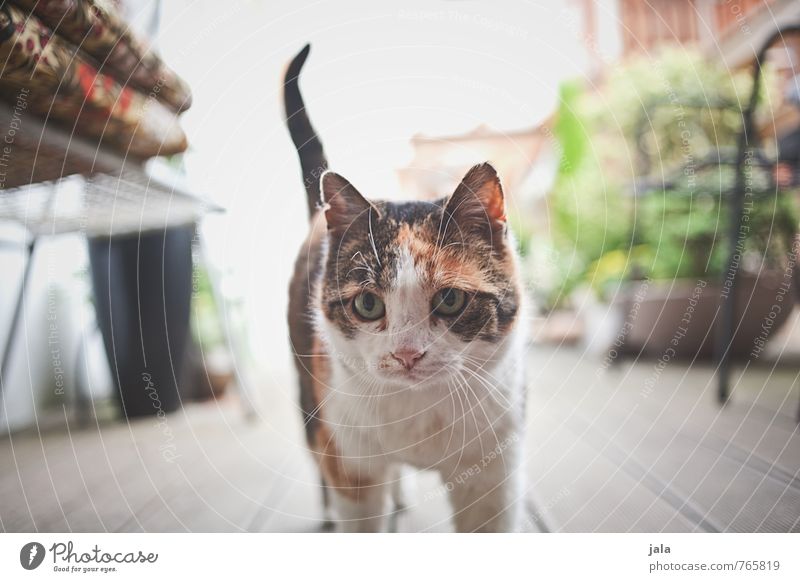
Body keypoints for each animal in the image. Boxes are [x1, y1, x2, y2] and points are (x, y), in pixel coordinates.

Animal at [284, 44, 528, 532]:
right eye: (367, 303)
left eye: (450, 299)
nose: (407, 354)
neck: (420, 413)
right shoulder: (352, 468)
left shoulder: (492, 477)